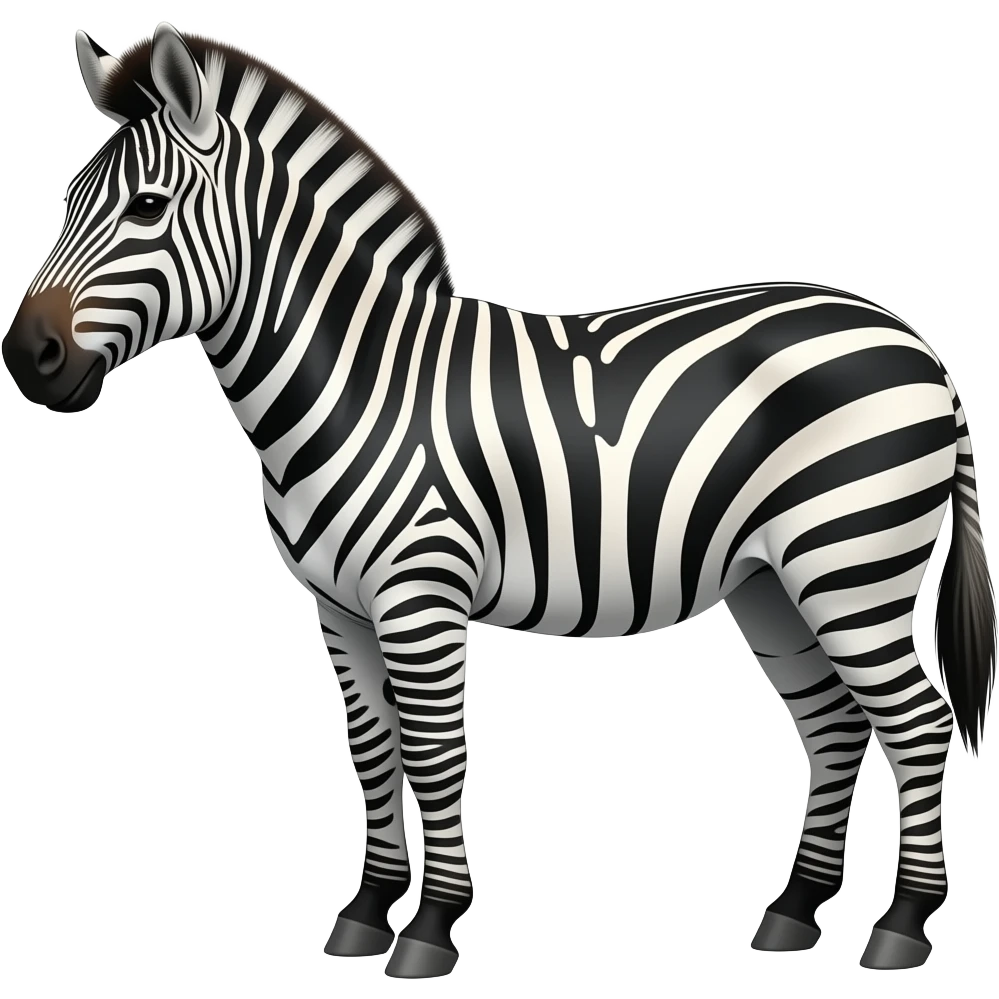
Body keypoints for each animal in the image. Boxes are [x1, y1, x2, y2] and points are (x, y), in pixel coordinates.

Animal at [3, 23, 995, 979]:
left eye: (145, 208)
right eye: (65, 202)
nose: (28, 358)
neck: (357, 381)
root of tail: (917, 343)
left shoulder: (419, 592)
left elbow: (435, 751)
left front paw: (429, 929)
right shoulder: (338, 607)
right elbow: (373, 752)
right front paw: (365, 912)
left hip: (851, 562)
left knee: (916, 723)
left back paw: (901, 926)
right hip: (771, 581)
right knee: (833, 723)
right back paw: (793, 910)